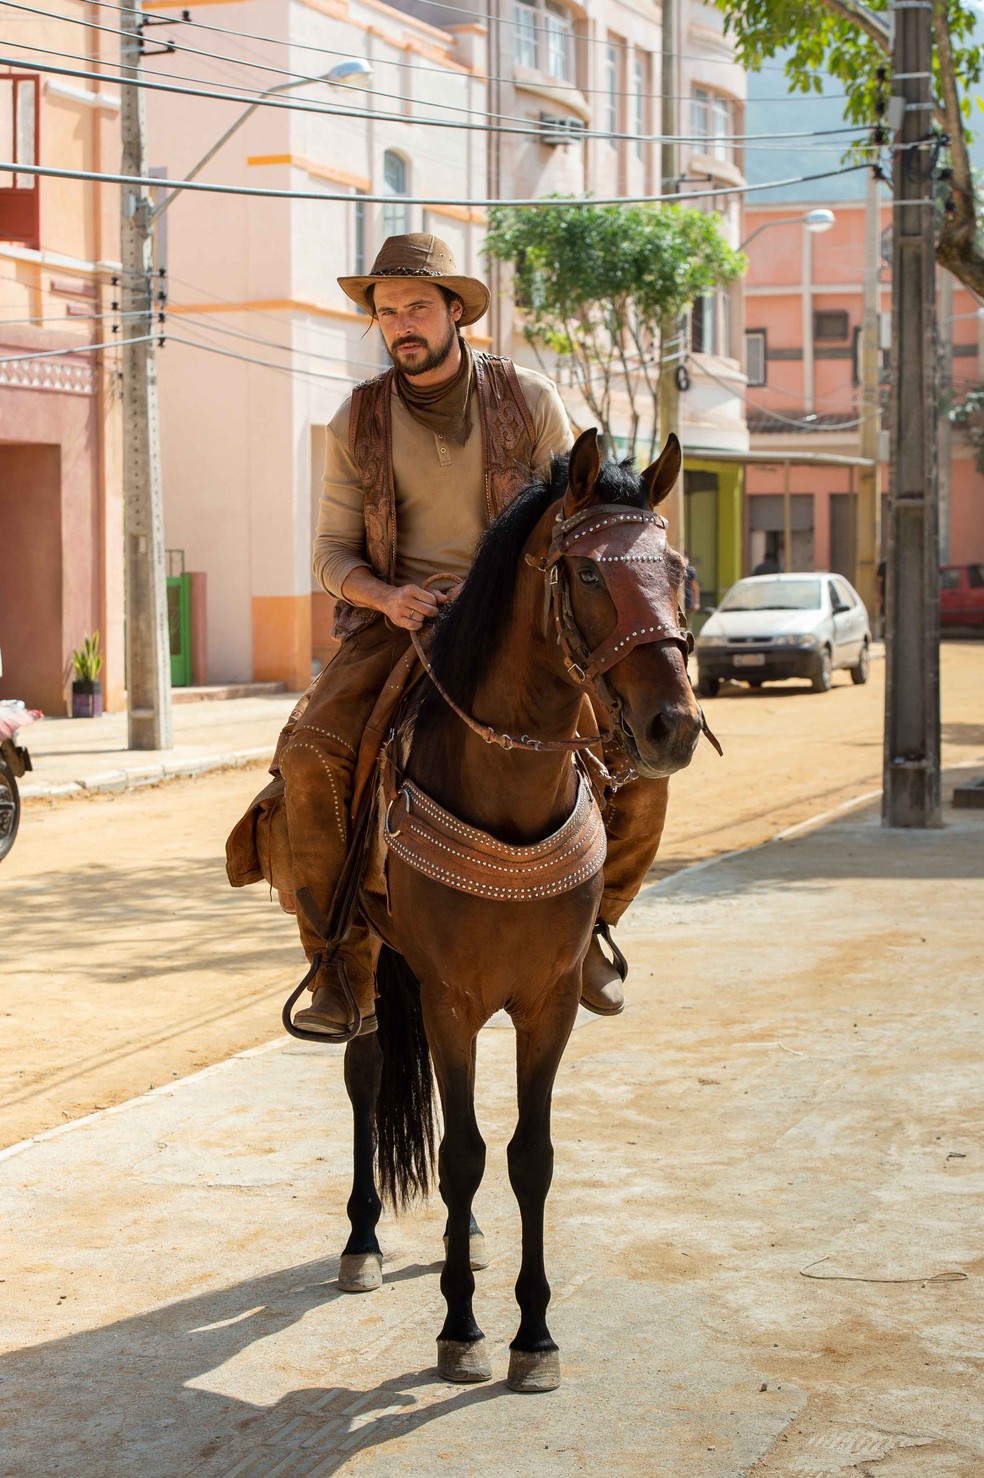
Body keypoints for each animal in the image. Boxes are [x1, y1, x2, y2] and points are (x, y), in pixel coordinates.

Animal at [314, 431, 697, 1395]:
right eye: (589, 572)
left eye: (676, 569)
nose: (674, 726)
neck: (509, 787)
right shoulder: (448, 998)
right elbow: (461, 1155)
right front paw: (460, 1330)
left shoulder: (549, 999)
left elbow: (528, 1157)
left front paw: (536, 1336)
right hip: (370, 957)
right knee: (366, 1070)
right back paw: (362, 1241)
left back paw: (473, 1239)